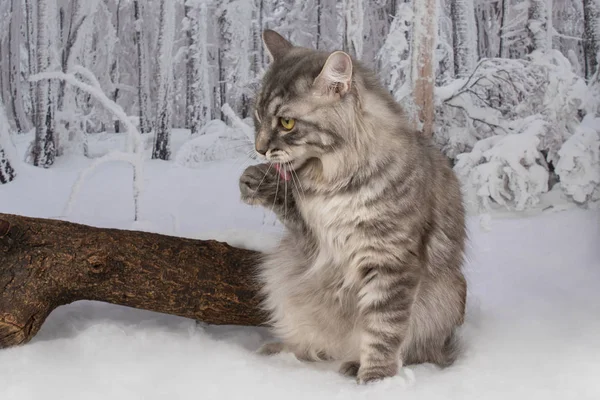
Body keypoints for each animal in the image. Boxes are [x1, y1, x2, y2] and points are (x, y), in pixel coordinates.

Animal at [239, 28, 468, 384]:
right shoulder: (314, 240)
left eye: (287, 123)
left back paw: (352, 364)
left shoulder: (390, 260)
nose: (259, 148)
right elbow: (289, 202)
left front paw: (375, 379)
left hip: (441, 301)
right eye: (258, 117)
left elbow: (383, 330)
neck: (333, 182)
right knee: (317, 347)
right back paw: (281, 350)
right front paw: (255, 180)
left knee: (414, 351)